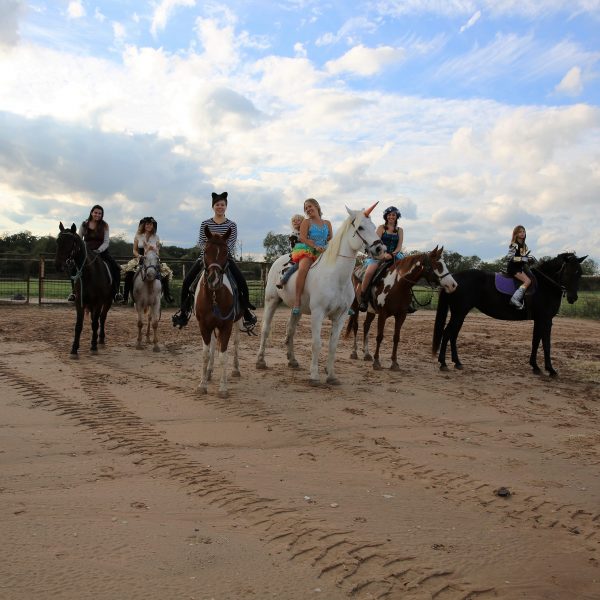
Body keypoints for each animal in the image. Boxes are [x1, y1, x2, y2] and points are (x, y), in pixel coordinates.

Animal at [54, 224, 115, 356]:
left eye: (71, 243)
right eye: (58, 241)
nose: (58, 265)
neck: (89, 273)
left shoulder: (98, 302)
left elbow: (95, 323)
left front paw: (94, 346)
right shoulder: (79, 302)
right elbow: (78, 325)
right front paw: (74, 349)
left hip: (107, 302)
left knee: (102, 318)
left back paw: (100, 340)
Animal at [195, 225, 241, 398]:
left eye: (226, 252)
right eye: (206, 251)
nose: (213, 280)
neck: (214, 295)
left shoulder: (226, 326)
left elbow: (224, 356)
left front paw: (223, 388)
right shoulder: (203, 326)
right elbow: (206, 354)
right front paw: (202, 385)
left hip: (237, 322)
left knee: (235, 343)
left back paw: (235, 370)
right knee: (214, 345)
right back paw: (208, 373)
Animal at [256, 205, 386, 384]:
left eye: (374, 226)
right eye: (360, 227)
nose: (380, 249)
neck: (336, 277)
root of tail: (277, 262)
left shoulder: (341, 316)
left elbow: (332, 345)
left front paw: (331, 375)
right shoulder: (318, 313)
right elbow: (316, 344)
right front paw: (314, 376)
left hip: (296, 309)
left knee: (291, 330)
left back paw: (292, 360)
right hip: (271, 301)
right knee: (265, 329)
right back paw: (261, 361)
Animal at [434, 252, 588, 376]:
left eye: (579, 273)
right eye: (568, 273)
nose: (573, 298)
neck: (545, 285)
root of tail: (452, 280)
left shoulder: (539, 320)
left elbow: (535, 341)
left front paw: (535, 367)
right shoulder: (545, 320)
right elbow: (546, 344)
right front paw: (551, 369)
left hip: (460, 314)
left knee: (453, 335)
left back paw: (457, 362)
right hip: (459, 313)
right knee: (447, 334)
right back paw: (443, 363)